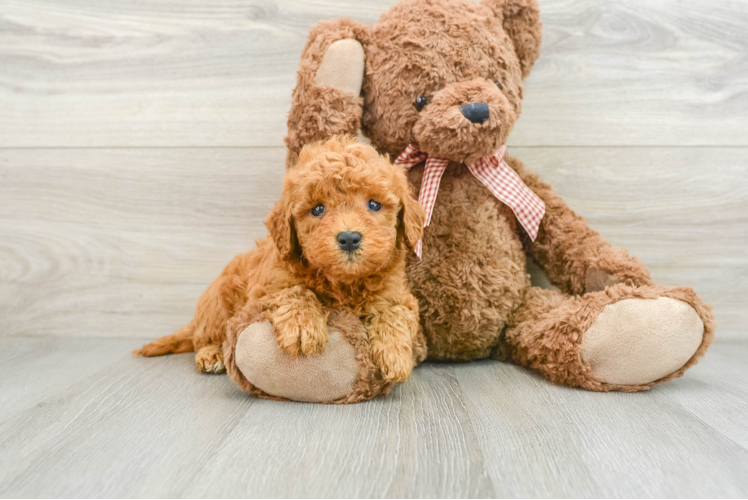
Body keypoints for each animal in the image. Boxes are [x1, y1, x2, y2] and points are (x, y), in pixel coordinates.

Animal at [137, 137, 424, 382]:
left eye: (374, 204)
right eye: (317, 209)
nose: (349, 238)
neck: (344, 283)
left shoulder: (400, 295)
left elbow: (395, 311)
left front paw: (395, 353)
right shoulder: (266, 287)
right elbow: (294, 290)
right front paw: (302, 324)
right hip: (217, 305)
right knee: (204, 338)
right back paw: (212, 354)